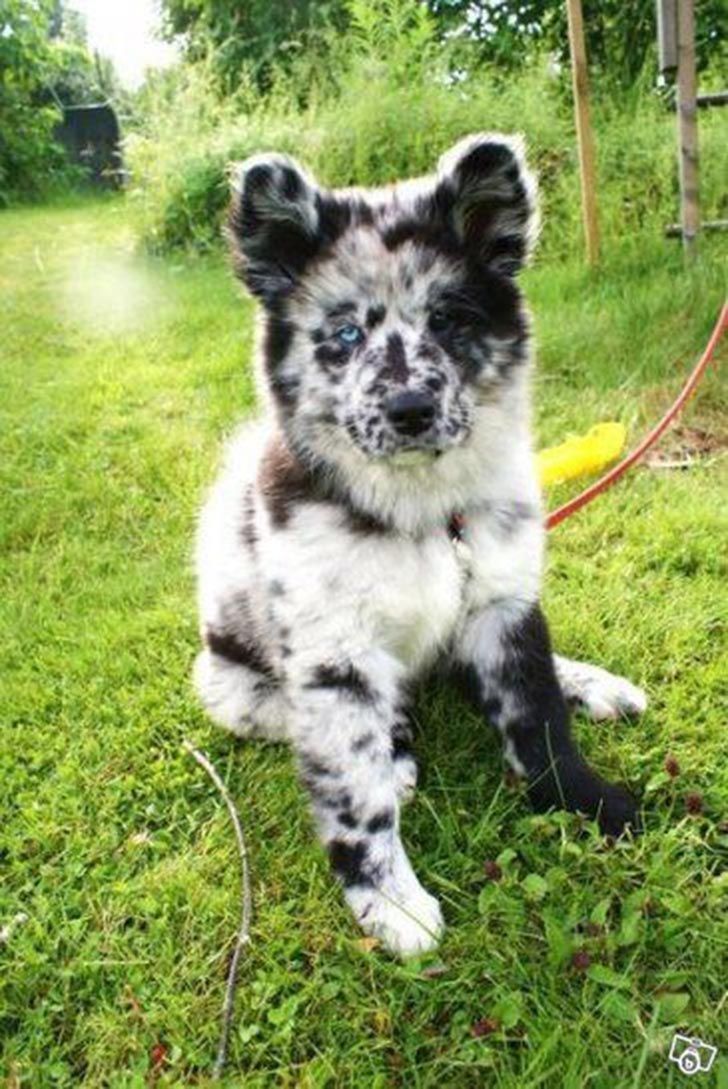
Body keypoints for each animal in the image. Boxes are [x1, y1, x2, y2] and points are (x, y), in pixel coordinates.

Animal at [191, 133, 639, 953]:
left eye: (450, 320)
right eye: (343, 335)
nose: (409, 408)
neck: (422, 508)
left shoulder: (502, 602)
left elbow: (538, 715)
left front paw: (591, 802)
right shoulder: (333, 657)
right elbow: (355, 793)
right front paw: (389, 901)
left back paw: (596, 685)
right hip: (235, 688)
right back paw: (397, 748)